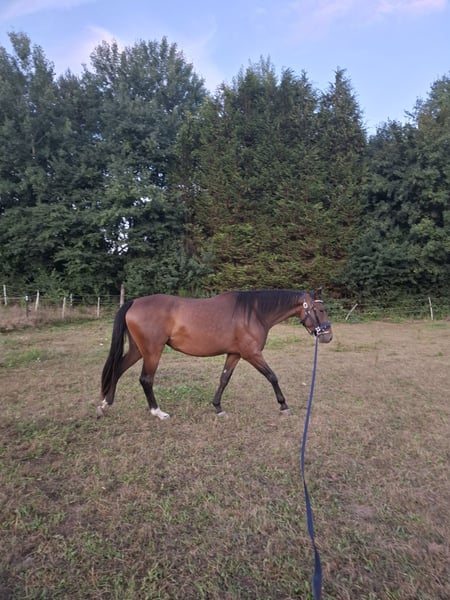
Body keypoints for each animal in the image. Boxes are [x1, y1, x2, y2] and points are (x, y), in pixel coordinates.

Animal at [97, 289, 332, 419]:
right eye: (321, 310)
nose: (327, 336)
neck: (253, 312)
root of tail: (134, 302)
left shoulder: (235, 354)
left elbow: (224, 379)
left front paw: (218, 407)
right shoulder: (252, 354)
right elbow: (272, 376)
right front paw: (284, 406)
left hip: (138, 350)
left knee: (118, 370)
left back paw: (105, 405)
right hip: (152, 351)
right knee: (146, 379)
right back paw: (158, 412)